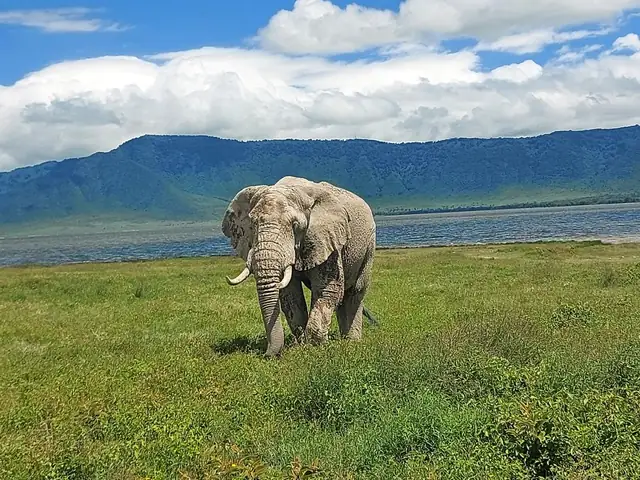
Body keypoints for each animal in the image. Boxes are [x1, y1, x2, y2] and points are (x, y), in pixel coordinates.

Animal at [221, 176, 377, 357]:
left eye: (295, 226)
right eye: (252, 225)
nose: (266, 354)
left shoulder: (327, 238)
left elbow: (328, 288)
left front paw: (315, 347)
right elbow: (290, 294)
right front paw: (301, 345)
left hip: (369, 245)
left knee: (355, 292)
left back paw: (352, 342)